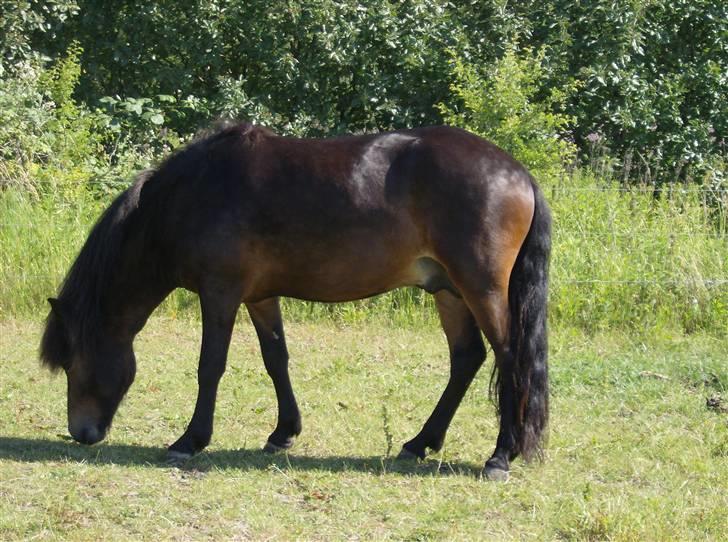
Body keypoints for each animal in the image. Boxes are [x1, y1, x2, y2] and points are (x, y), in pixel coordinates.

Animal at [39, 123, 548, 480]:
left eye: (73, 362)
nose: (81, 434)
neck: (194, 194)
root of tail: (519, 173)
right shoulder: (260, 296)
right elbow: (276, 358)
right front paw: (284, 433)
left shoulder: (220, 293)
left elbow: (210, 365)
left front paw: (191, 439)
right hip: (448, 291)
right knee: (467, 358)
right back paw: (420, 442)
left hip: (480, 288)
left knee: (509, 357)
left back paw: (501, 455)